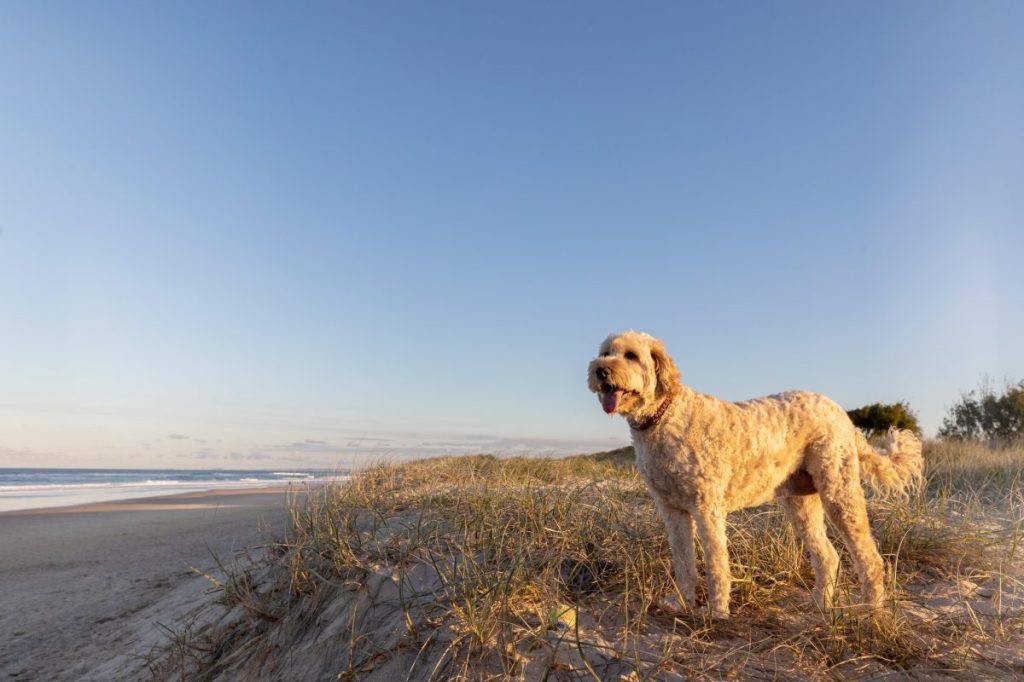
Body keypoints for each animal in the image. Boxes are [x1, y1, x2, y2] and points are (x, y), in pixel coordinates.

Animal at [589, 329, 925, 614]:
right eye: (605, 352)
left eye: (631, 355)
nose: (600, 370)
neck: (664, 416)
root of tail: (842, 414)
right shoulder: (673, 510)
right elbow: (683, 563)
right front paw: (683, 604)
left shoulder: (707, 509)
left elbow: (716, 565)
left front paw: (718, 613)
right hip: (801, 503)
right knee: (828, 556)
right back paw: (819, 607)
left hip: (839, 493)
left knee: (870, 559)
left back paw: (870, 613)